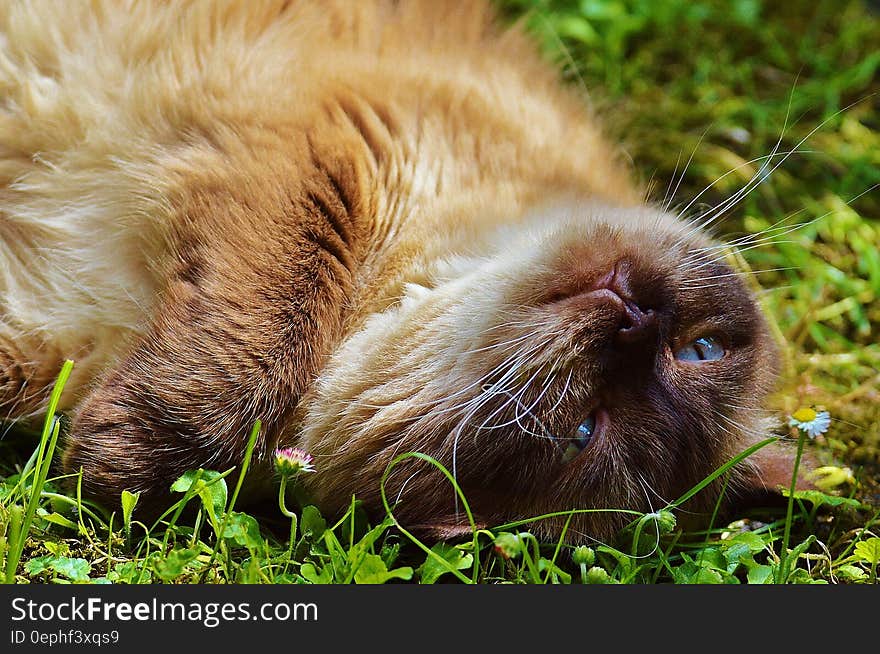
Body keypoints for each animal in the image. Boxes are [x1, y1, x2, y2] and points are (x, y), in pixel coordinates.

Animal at [0, 0, 808, 544]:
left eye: (584, 429)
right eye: (699, 351)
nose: (638, 321)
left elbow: (222, 400)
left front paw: (105, 467)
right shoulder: (324, 154)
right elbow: (259, 345)